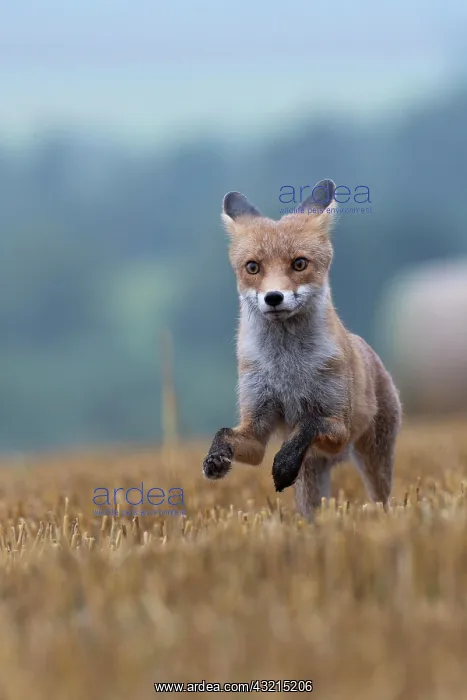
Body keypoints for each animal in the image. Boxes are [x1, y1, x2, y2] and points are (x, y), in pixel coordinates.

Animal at [202, 180, 402, 518]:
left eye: (299, 264)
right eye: (252, 267)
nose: (273, 297)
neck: (287, 368)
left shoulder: (338, 427)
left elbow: (309, 422)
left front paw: (283, 463)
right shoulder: (256, 429)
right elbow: (224, 432)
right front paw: (216, 459)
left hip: (372, 461)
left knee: (382, 500)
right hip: (310, 483)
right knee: (311, 513)